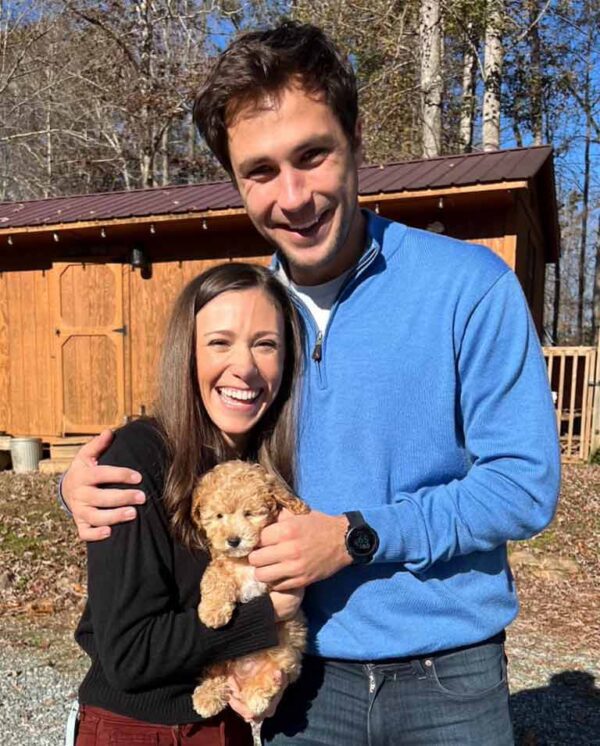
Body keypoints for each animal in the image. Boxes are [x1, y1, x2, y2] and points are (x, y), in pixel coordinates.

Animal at [190, 456, 308, 716]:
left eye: (249, 514)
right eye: (219, 516)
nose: (233, 540)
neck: (244, 560)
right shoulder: (219, 564)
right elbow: (215, 580)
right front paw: (213, 612)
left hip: (284, 656)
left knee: (273, 676)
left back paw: (256, 696)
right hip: (219, 657)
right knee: (215, 673)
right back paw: (207, 696)